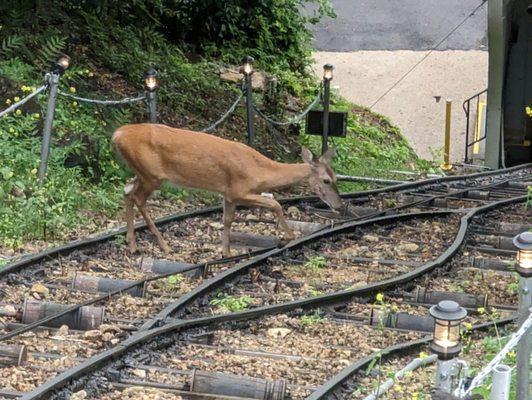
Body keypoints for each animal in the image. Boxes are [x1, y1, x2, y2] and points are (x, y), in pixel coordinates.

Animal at [112, 122, 344, 258]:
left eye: (336, 178)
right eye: (326, 180)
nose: (339, 206)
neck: (260, 170)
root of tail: (116, 135)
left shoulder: (228, 195)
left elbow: (227, 220)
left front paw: (226, 252)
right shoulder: (238, 190)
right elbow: (275, 203)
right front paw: (288, 237)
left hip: (142, 173)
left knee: (126, 191)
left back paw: (131, 243)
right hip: (152, 175)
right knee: (138, 198)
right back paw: (163, 245)